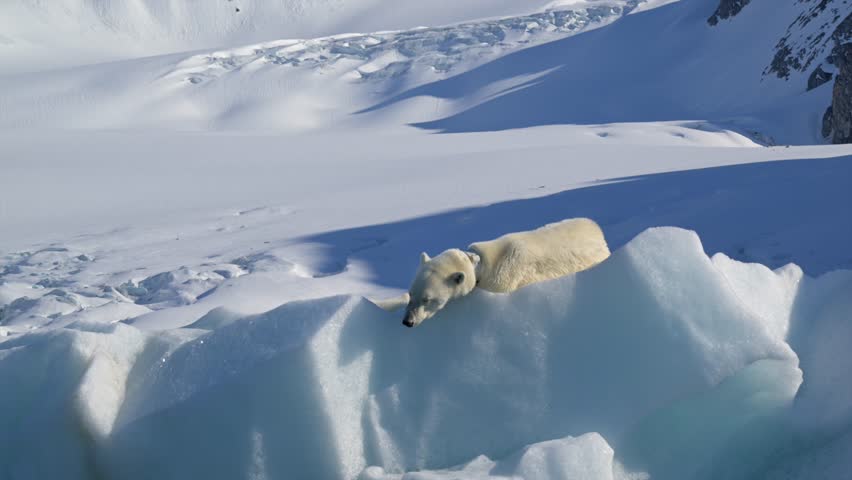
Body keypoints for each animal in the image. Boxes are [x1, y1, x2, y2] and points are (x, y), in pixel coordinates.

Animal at [395, 217, 610, 327]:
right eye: (411, 294)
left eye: (427, 299)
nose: (407, 321)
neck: (482, 265)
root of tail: (597, 229)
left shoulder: (506, 278)